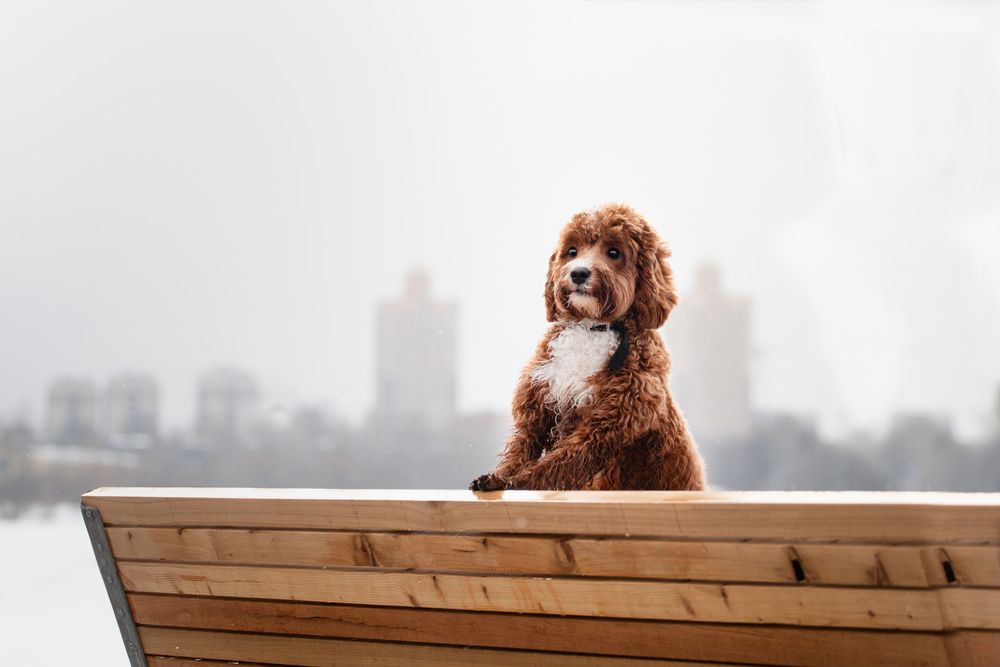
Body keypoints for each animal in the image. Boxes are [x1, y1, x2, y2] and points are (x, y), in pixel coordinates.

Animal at [472, 202, 708, 490]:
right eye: (572, 251)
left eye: (614, 252)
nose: (578, 272)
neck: (591, 326)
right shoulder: (538, 406)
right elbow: (522, 446)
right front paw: (498, 478)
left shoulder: (605, 425)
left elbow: (556, 464)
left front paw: (517, 482)